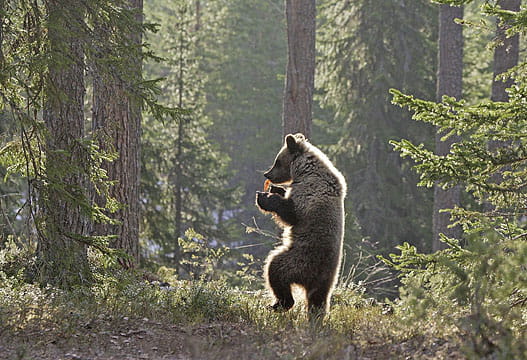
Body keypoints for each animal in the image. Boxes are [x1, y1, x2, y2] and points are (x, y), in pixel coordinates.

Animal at [256, 134, 346, 320]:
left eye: (277, 161)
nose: (267, 174)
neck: (305, 170)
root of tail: (311, 280)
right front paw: (276, 189)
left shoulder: (310, 191)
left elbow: (290, 214)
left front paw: (265, 197)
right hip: (326, 279)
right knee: (318, 301)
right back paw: (315, 318)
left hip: (300, 259)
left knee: (275, 270)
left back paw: (279, 304)